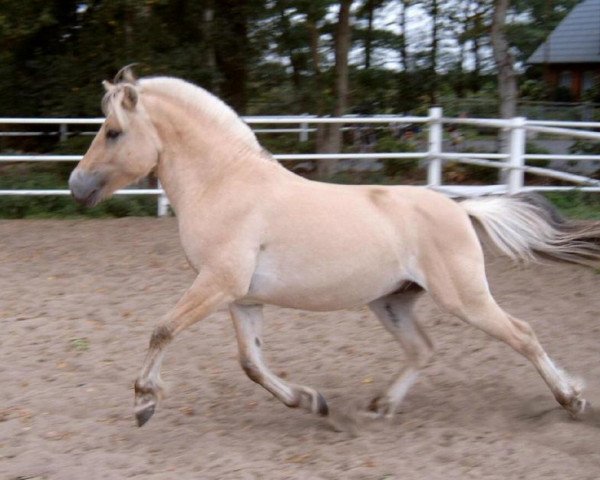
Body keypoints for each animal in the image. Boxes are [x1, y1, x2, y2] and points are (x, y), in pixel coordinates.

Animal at [68, 66, 596, 428]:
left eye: (113, 131)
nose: (76, 186)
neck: (226, 183)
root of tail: (462, 208)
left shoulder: (217, 284)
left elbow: (162, 330)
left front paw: (144, 401)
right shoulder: (241, 298)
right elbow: (251, 364)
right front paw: (310, 401)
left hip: (465, 298)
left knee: (523, 334)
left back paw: (572, 400)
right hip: (392, 301)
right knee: (423, 349)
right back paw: (381, 407)